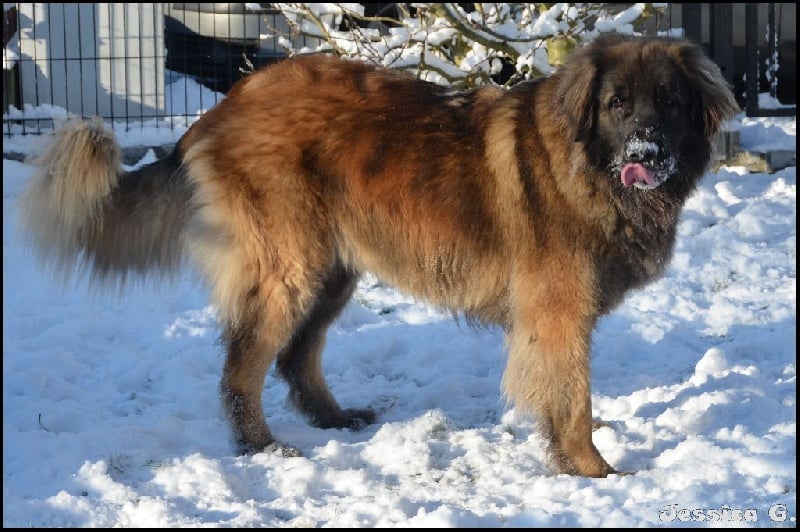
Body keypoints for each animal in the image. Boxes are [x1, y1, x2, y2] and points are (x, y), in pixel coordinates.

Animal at [18, 34, 738, 477]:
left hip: (332, 268)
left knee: (295, 355)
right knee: (242, 364)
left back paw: (335, 419)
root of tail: (227, 104)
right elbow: (572, 396)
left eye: (669, 103)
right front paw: (590, 468)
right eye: (617, 105)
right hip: (290, 267)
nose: (647, 153)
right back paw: (262, 447)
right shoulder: (557, 314)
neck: (588, 168)